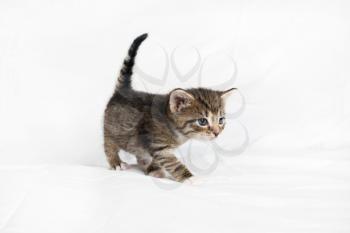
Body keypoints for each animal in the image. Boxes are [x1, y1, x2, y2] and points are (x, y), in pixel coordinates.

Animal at [103, 33, 235, 182]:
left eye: (221, 120)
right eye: (202, 121)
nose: (216, 133)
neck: (175, 130)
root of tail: (123, 91)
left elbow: (155, 158)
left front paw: (154, 168)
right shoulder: (159, 146)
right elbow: (173, 164)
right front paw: (190, 178)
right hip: (111, 129)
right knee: (109, 144)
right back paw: (116, 162)